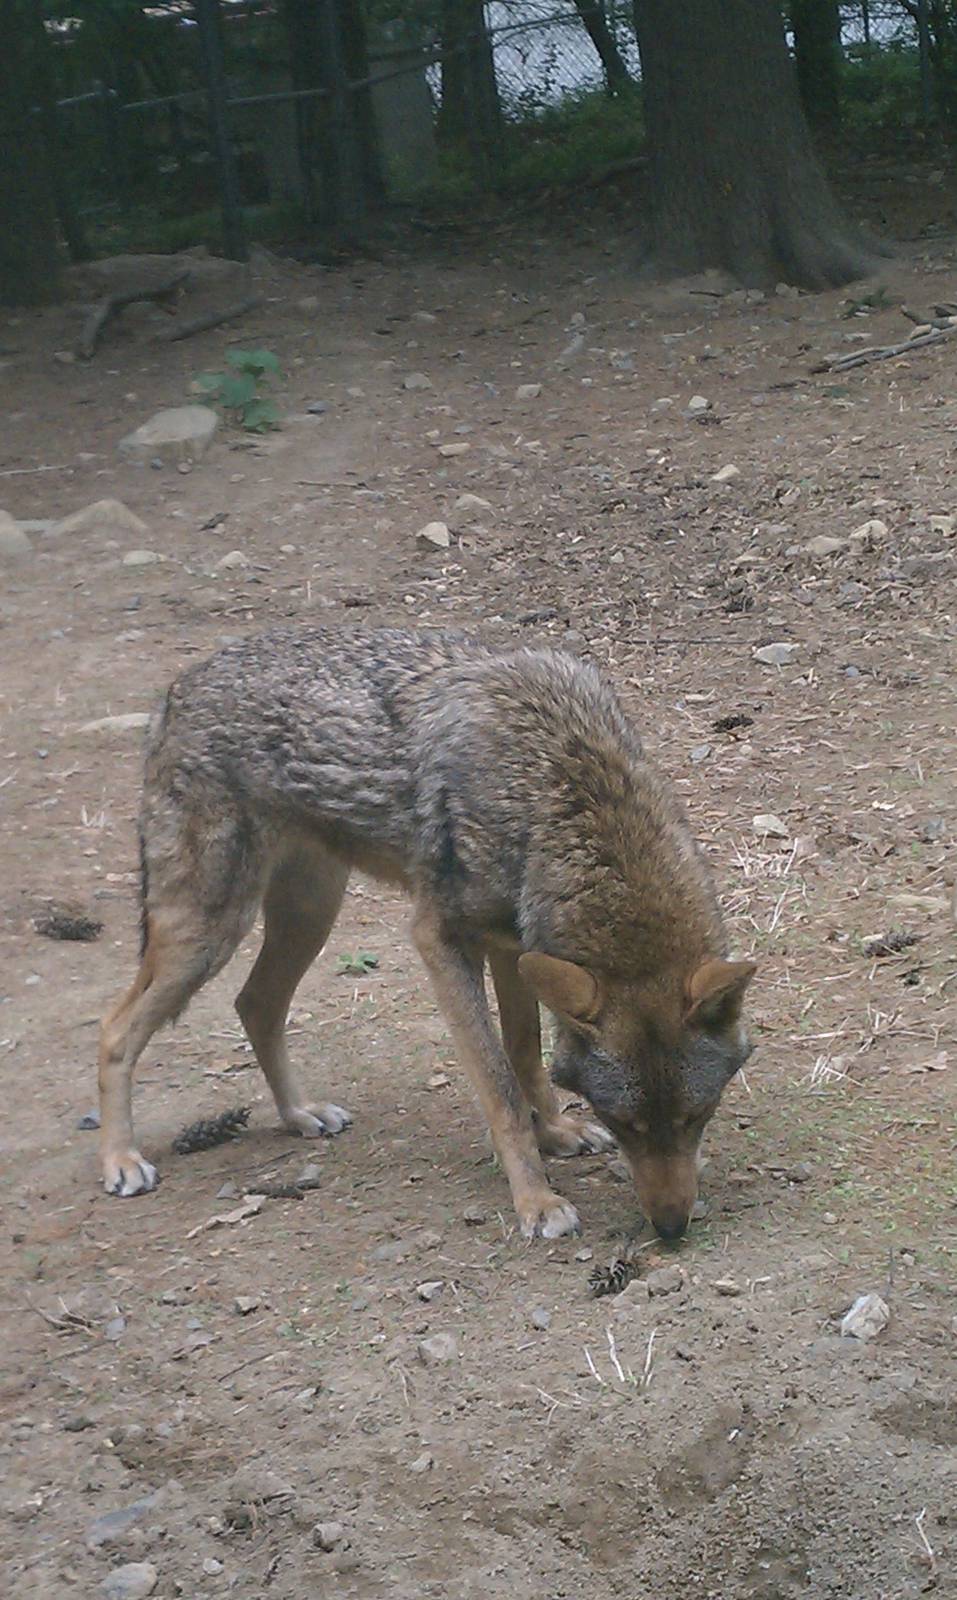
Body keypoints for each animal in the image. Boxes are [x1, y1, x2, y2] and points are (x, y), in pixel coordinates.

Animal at [98, 626, 755, 1240]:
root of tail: (176, 688)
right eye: (624, 1124)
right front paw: (537, 1201)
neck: (557, 781)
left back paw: (299, 1113)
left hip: (309, 915)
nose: (671, 1228)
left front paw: (556, 1130)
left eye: (699, 1115)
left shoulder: (514, 945)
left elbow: (525, 1051)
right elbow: (500, 1088)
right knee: (115, 1029)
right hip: (208, 935)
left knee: (255, 1003)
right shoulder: (440, 940)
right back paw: (121, 1160)